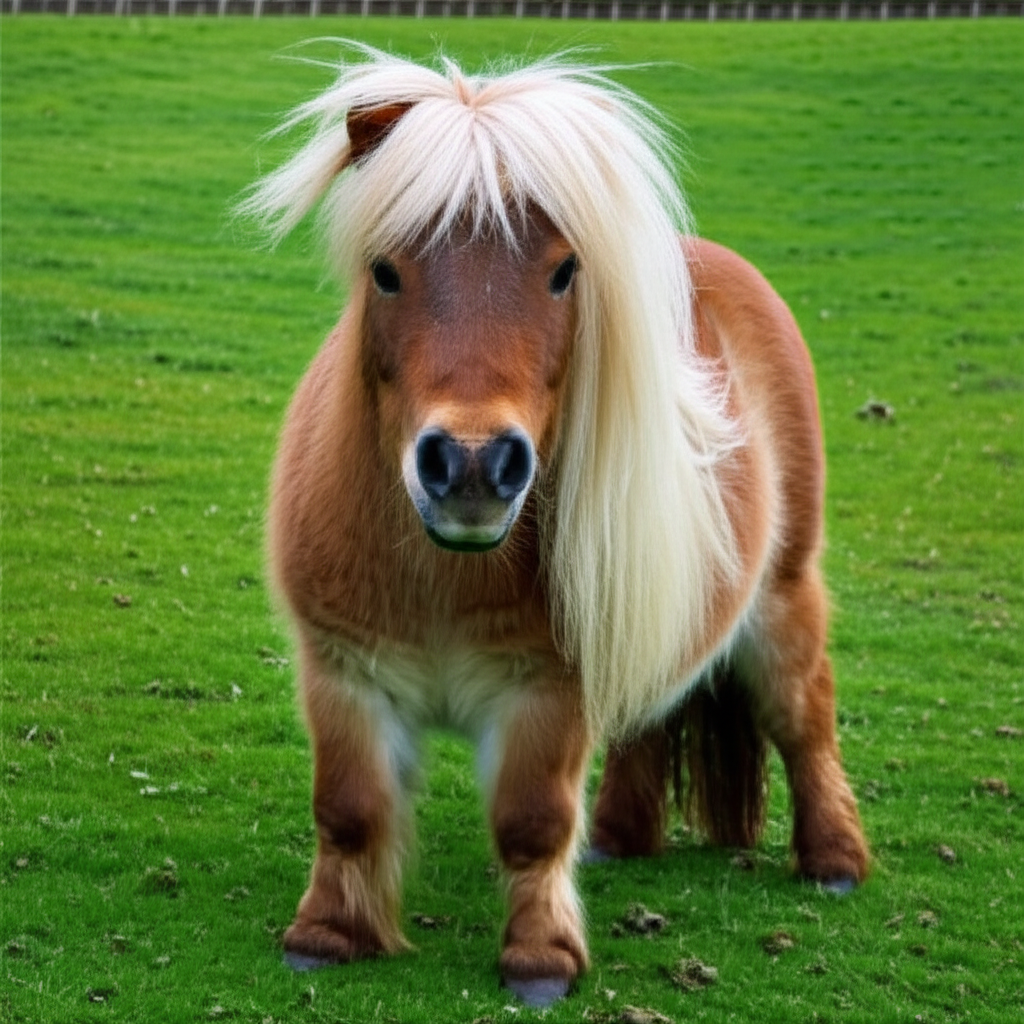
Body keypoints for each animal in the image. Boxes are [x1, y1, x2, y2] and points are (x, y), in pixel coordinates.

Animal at [239, 44, 869, 1007]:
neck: (444, 575)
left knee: (805, 715)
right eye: (385, 269)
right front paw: (326, 935)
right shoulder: (346, 673)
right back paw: (618, 839)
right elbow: (348, 809)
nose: (469, 466)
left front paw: (540, 961)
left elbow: (531, 821)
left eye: (565, 271)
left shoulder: (547, 690)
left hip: (782, 598)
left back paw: (834, 863)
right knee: (653, 710)